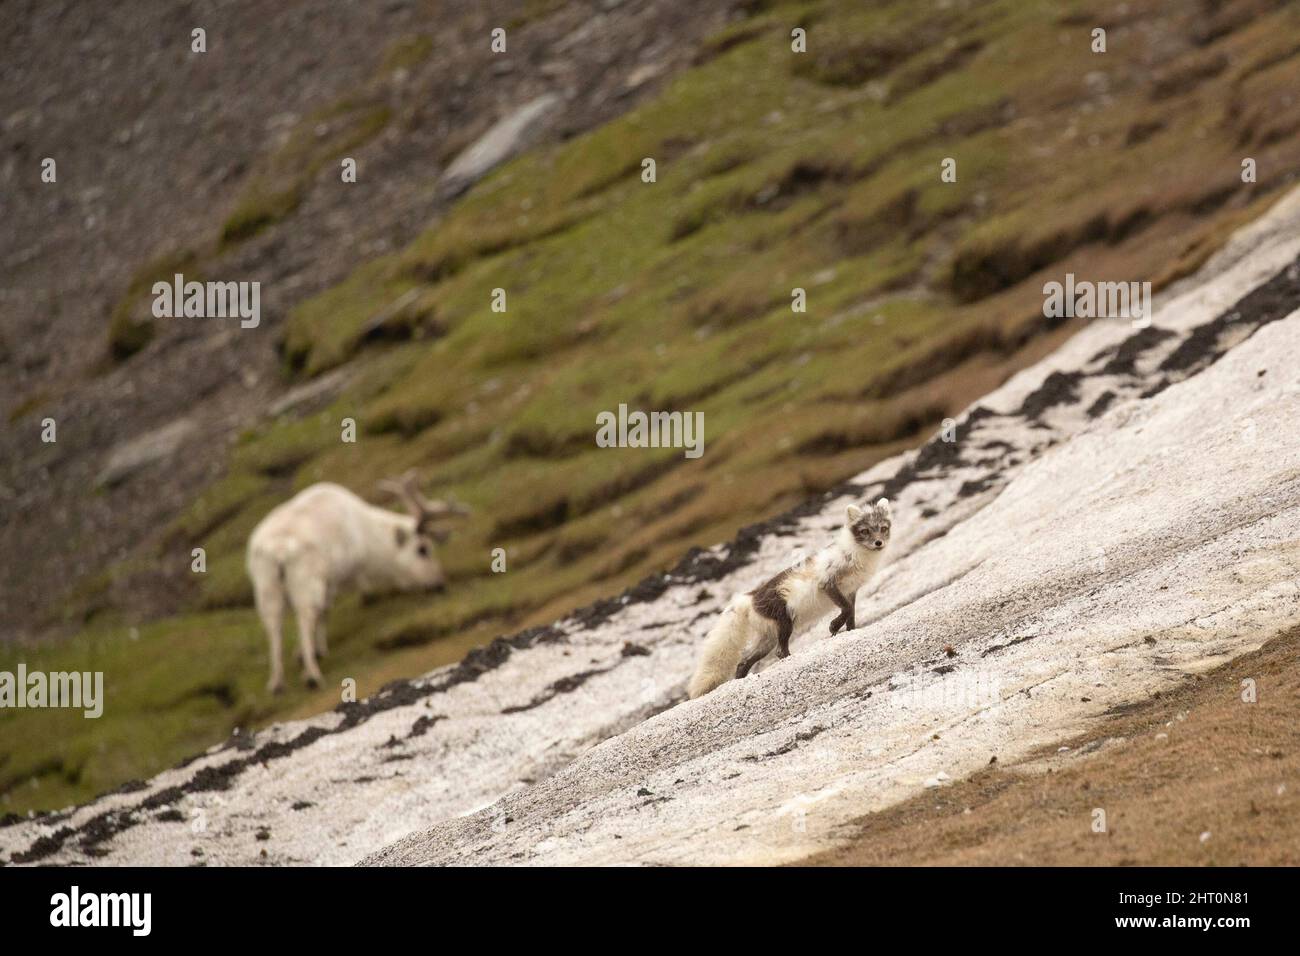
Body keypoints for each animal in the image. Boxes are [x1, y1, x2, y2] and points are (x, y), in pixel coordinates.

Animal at [686, 496, 889, 697]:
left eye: (883, 528)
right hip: (785, 622)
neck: (857, 555)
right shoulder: (828, 582)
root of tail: (750, 597)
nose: (879, 543)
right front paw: (834, 626)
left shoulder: (851, 591)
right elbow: (845, 609)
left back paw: (740, 682)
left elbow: (851, 613)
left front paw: (851, 631)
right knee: (779, 652)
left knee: (744, 661)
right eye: (865, 531)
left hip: (767, 638)